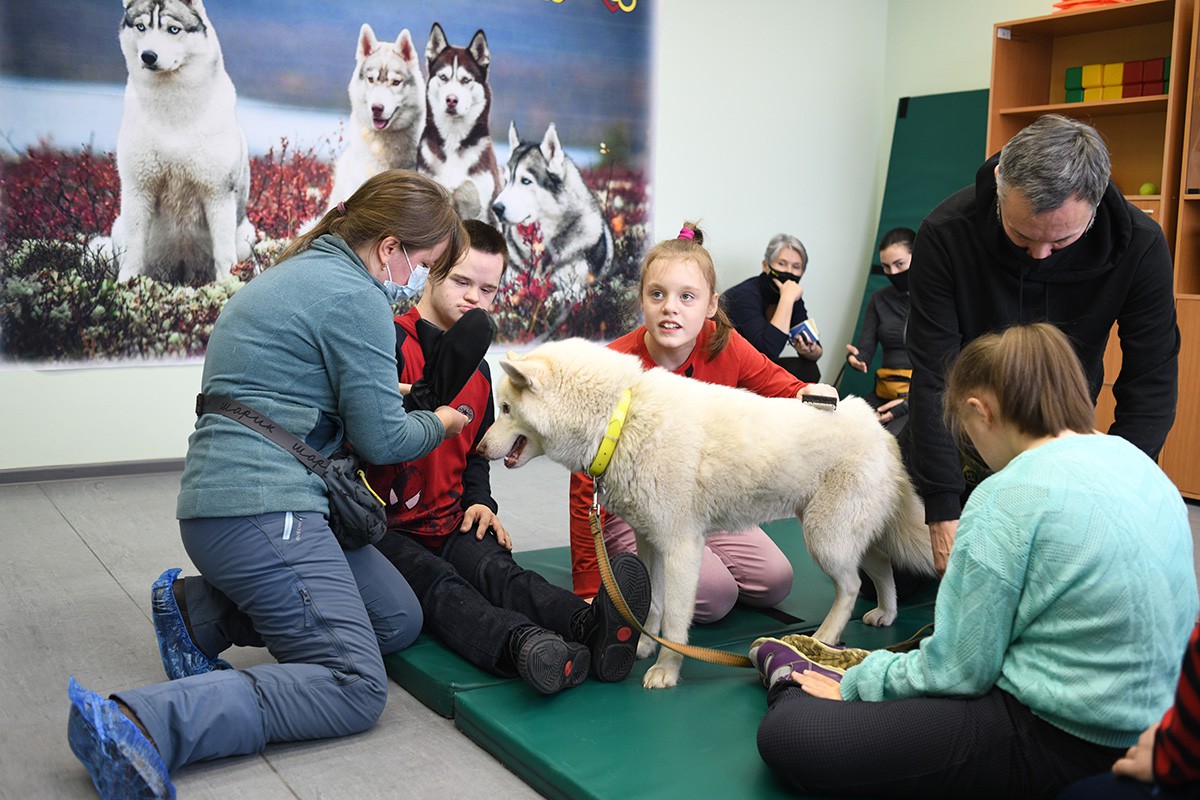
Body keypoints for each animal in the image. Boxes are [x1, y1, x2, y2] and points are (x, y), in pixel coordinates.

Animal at [112, 0, 255, 284]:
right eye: (141, 26)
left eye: (173, 29)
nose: (148, 56)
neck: (172, 111)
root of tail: (183, 268)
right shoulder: (138, 188)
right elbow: (133, 250)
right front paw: (125, 286)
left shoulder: (217, 192)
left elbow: (224, 253)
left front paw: (227, 286)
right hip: (116, 229)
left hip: (247, 235)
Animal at [477, 338, 936, 690]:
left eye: (505, 409)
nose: (479, 447)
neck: (621, 418)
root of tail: (878, 428)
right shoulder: (650, 544)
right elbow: (654, 606)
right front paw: (642, 645)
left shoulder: (682, 548)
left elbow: (676, 620)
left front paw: (665, 669)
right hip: (848, 534)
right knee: (882, 568)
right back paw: (886, 614)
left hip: (826, 540)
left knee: (852, 585)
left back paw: (823, 639)